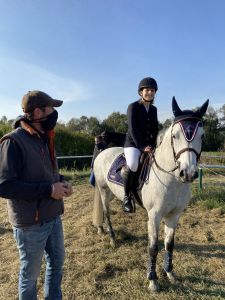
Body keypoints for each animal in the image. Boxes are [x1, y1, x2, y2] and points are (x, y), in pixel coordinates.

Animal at [92, 97, 208, 292]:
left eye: (202, 136)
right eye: (175, 135)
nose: (188, 173)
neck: (172, 179)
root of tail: (104, 152)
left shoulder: (174, 215)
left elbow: (169, 244)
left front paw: (170, 274)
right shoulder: (154, 216)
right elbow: (153, 247)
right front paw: (153, 281)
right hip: (103, 190)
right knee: (107, 213)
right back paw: (112, 239)